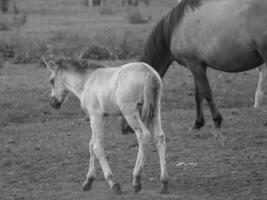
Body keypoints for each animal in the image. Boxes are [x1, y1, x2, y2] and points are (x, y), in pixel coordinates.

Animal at [44, 57, 170, 194]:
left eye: (51, 81)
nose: (53, 103)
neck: (87, 81)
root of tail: (148, 73)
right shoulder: (98, 117)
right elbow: (91, 145)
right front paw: (88, 181)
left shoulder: (96, 115)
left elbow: (97, 147)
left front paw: (112, 182)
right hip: (155, 109)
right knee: (159, 137)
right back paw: (164, 182)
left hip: (130, 112)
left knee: (143, 135)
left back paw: (136, 179)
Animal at [122, 0, 267, 134]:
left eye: (134, 102)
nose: (124, 129)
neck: (174, 30)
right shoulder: (197, 66)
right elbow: (198, 95)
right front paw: (198, 123)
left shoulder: (194, 65)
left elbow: (207, 93)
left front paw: (217, 121)